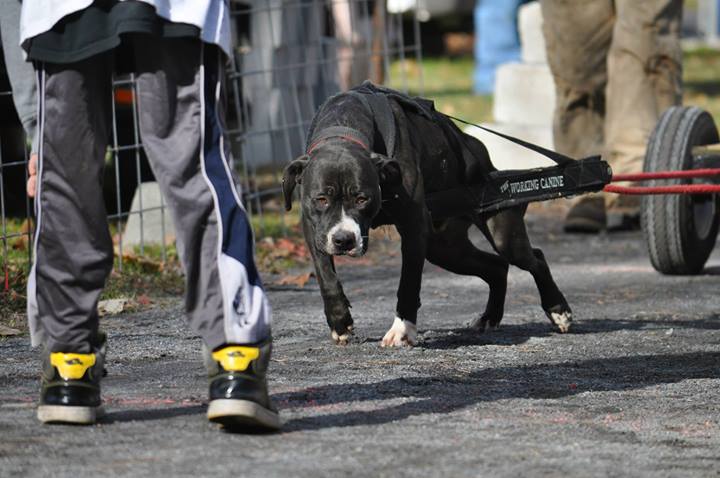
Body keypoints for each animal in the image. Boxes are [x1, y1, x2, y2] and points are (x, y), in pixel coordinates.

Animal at [284, 84, 572, 346]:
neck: (344, 129)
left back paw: (558, 310)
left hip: (500, 235)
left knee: (534, 258)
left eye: (362, 198)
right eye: (321, 199)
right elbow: (325, 275)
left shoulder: (413, 226)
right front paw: (339, 321)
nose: (344, 240)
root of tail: (477, 148)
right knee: (497, 266)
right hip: (445, 248)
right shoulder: (314, 229)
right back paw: (490, 317)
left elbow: (409, 282)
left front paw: (402, 330)